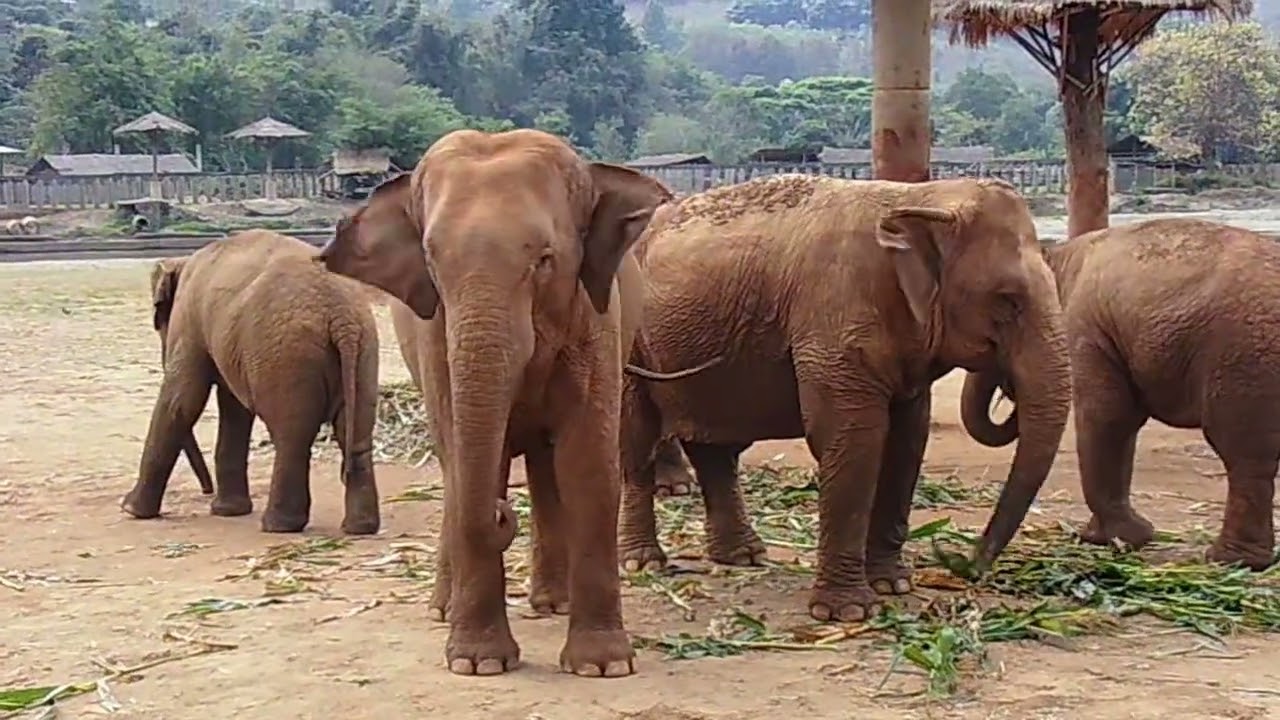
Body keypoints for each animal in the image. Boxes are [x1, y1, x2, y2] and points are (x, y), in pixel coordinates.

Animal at [120, 229, 381, 536]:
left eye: (159, 321)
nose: (207, 491)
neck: (183, 262)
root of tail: (342, 317)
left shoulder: (189, 318)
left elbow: (183, 398)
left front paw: (130, 509)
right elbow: (234, 408)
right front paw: (228, 511)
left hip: (287, 354)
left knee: (292, 435)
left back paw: (278, 526)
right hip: (363, 351)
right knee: (356, 434)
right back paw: (359, 528)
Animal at [315, 128, 715, 679]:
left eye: (544, 259)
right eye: (432, 259)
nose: (504, 514)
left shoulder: (595, 320)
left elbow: (587, 463)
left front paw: (603, 666)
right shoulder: (435, 337)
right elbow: (468, 456)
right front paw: (478, 663)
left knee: (546, 467)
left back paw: (552, 602)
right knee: (461, 467)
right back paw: (445, 609)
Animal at [620, 173, 1072, 622]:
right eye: (1007, 300)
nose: (964, 565)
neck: (920, 197)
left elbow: (907, 443)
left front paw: (894, 586)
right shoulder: (833, 323)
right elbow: (853, 440)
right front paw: (848, 612)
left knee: (714, 449)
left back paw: (743, 558)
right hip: (630, 347)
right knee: (638, 442)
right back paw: (643, 563)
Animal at [962, 217, 1280, 571]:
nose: (1011, 396)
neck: (1058, 256)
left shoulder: (1084, 330)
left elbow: (1109, 417)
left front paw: (1116, 539)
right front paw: (1109, 537)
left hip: (1244, 356)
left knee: (1241, 450)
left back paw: (1230, 561)